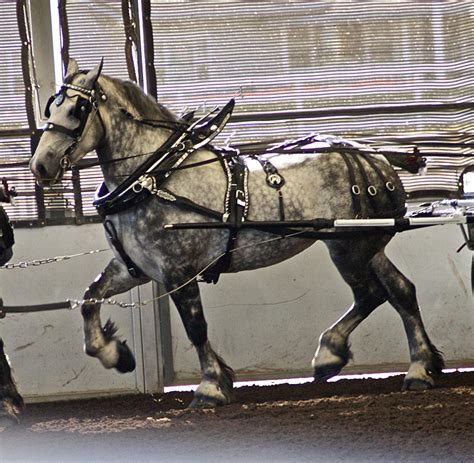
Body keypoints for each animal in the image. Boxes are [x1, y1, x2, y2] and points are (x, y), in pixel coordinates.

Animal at [29, 59, 444, 410]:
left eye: (77, 110)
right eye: (51, 107)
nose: (40, 166)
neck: (156, 176)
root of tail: (375, 156)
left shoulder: (178, 271)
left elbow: (195, 327)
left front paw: (211, 386)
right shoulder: (136, 268)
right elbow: (90, 300)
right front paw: (115, 354)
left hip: (347, 247)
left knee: (370, 294)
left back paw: (330, 354)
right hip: (367, 245)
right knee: (401, 291)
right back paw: (421, 368)